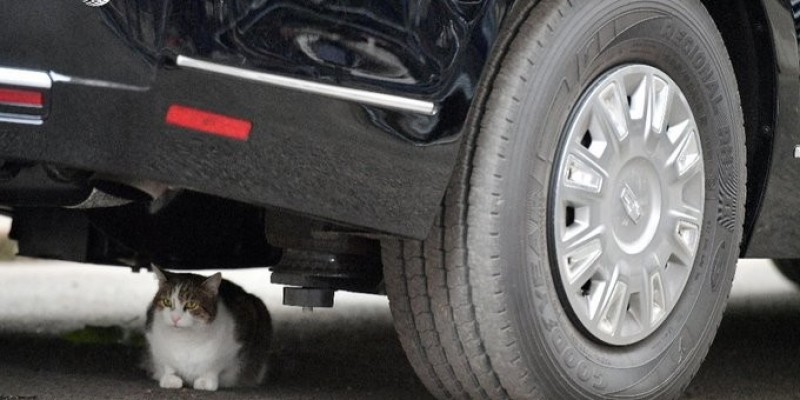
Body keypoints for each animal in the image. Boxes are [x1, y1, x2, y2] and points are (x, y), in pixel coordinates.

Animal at [142, 266, 270, 390]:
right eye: (167, 302)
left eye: (192, 304)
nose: (175, 318)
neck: (185, 339)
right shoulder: (154, 341)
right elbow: (167, 364)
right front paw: (170, 379)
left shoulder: (234, 344)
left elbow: (214, 366)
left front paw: (205, 381)